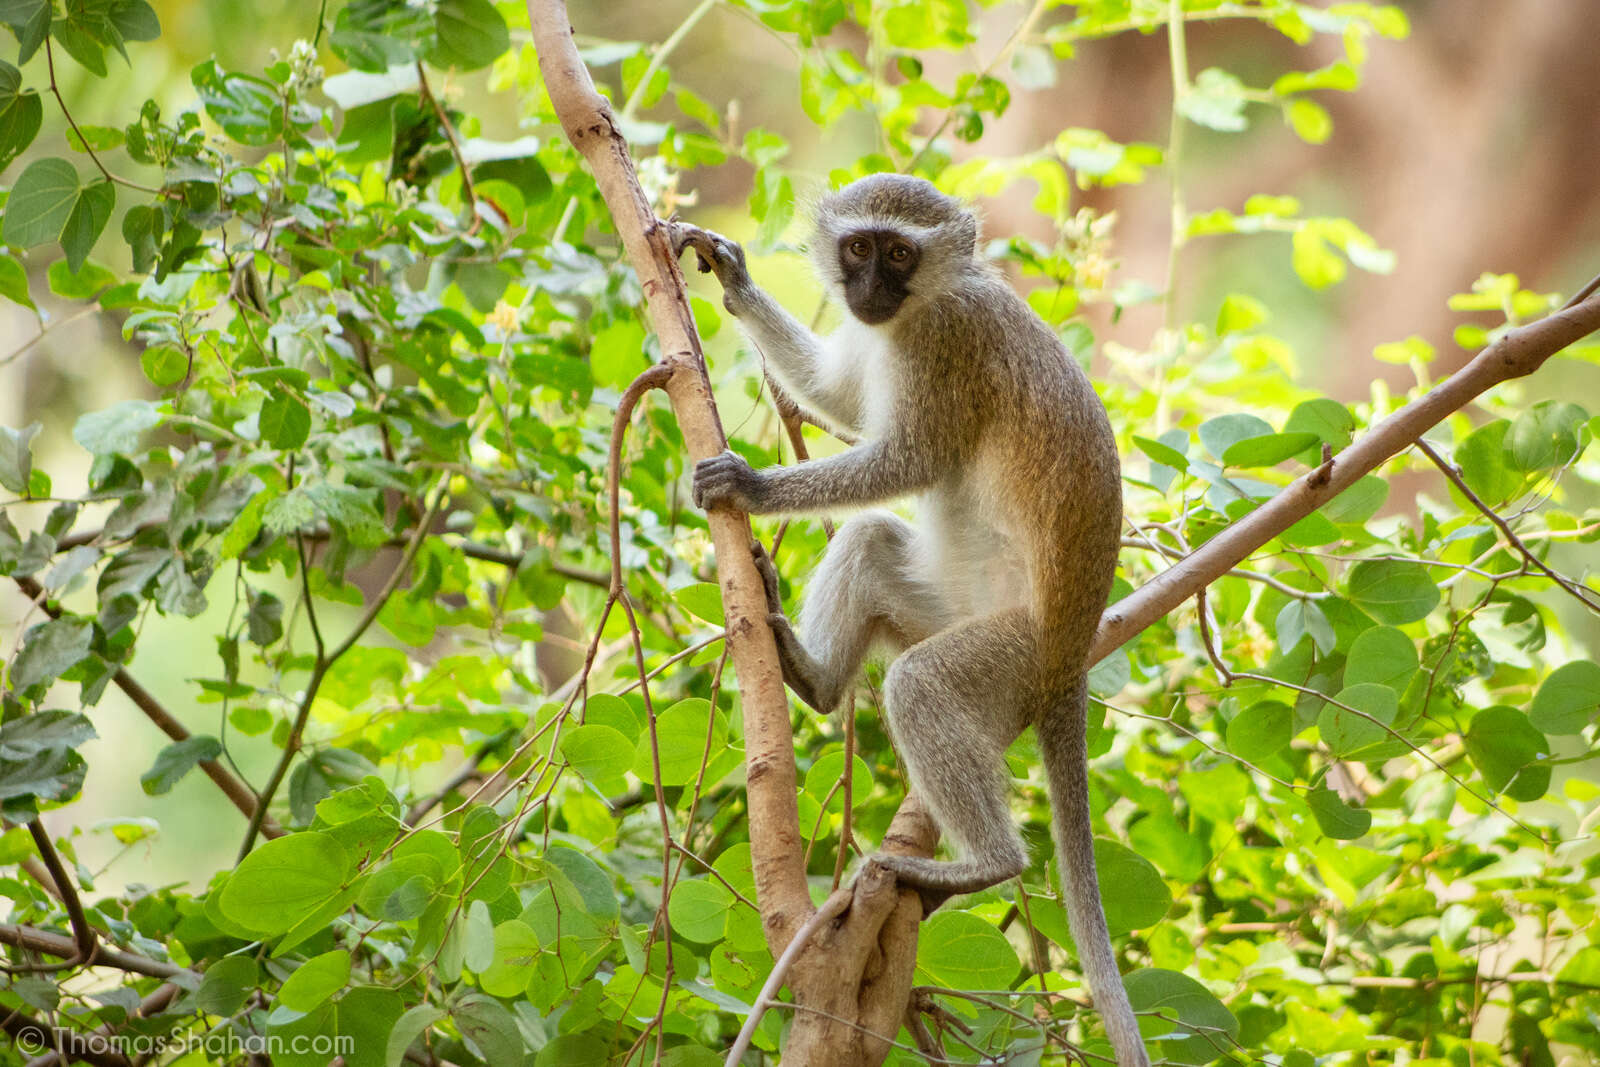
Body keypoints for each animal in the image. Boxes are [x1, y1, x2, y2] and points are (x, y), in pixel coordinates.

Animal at [672, 175, 1139, 1067]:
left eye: (898, 252)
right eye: (858, 247)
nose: (867, 288)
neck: (930, 301)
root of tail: (1072, 654)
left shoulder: (945, 346)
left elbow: (904, 459)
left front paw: (750, 485)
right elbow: (846, 400)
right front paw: (733, 279)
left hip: (1007, 653)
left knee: (923, 681)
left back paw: (985, 864)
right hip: (947, 608)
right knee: (869, 539)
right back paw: (815, 680)